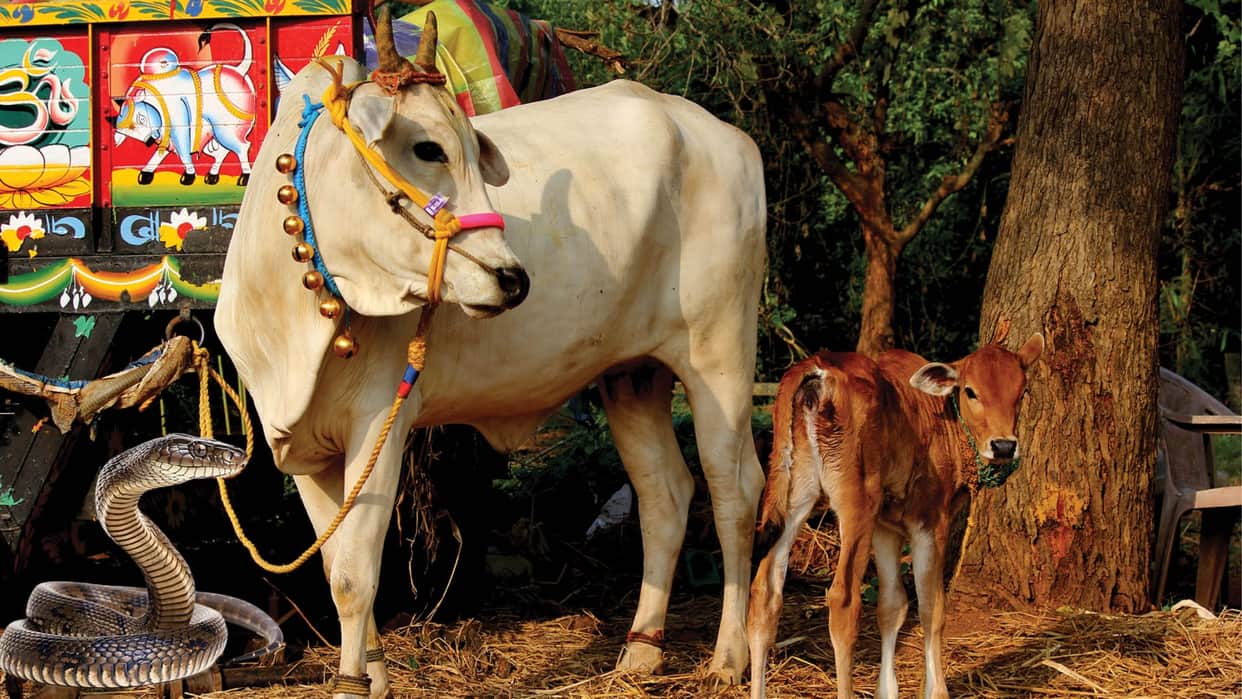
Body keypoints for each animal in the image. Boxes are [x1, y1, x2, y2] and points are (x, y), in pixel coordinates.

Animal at [215, 7, 766, 699]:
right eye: (427, 148)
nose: (513, 278)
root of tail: (724, 135)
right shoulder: (307, 445)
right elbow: (337, 567)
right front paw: (371, 677)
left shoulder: (380, 421)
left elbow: (355, 574)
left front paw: (354, 683)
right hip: (630, 374)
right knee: (665, 494)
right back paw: (641, 652)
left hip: (721, 354)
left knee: (734, 489)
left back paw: (729, 656)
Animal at [746, 330, 1043, 699]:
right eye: (970, 390)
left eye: (1022, 392)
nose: (1003, 445)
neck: (940, 421)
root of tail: (817, 368)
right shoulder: (931, 522)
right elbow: (932, 608)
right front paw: (937, 690)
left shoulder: (885, 528)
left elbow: (892, 606)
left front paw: (887, 690)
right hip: (854, 503)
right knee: (843, 600)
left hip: (794, 492)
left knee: (765, 591)